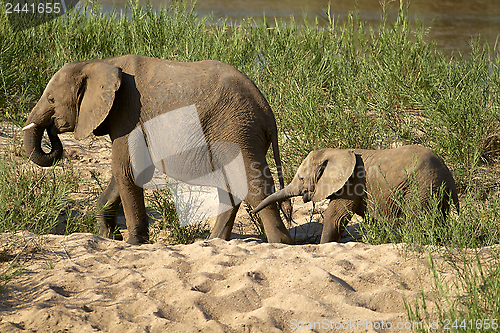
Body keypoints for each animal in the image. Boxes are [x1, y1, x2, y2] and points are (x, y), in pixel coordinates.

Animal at [24, 54, 292, 245]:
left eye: (51, 100)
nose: (53, 131)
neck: (101, 63)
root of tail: (268, 114)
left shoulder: (129, 115)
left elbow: (126, 171)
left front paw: (134, 243)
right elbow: (123, 173)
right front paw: (111, 237)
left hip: (237, 129)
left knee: (253, 186)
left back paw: (280, 244)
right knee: (230, 186)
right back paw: (213, 242)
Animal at [252, 144, 458, 243]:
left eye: (302, 179)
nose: (252, 212)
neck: (336, 151)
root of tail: (448, 173)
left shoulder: (351, 185)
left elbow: (335, 218)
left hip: (422, 187)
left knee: (419, 221)